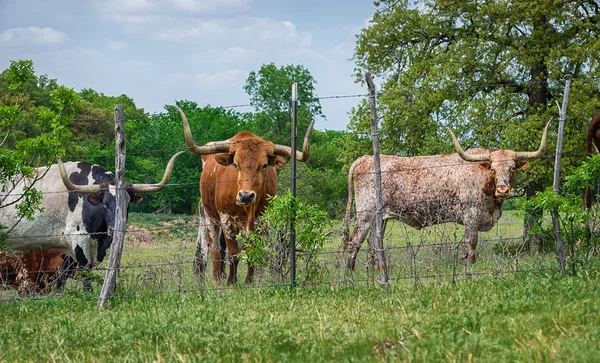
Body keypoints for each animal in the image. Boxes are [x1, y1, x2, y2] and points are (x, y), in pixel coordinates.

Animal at [0, 152, 183, 288]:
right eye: (105, 204)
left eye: (128, 204)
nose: (115, 229)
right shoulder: (78, 240)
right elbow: (85, 274)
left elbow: (63, 277)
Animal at [173, 106, 314, 286]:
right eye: (235, 164)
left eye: (264, 165)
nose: (246, 196)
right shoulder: (226, 220)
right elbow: (233, 253)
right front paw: (231, 283)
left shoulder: (262, 222)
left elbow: (253, 251)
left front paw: (249, 282)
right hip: (210, 216)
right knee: (215, 250)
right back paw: (216, 280)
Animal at [342, 122, 548, 268]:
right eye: (493, 169)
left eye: (512, 168)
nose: (503, 190)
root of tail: (366, 158)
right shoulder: (471, 216)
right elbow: (471, 245)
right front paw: (469, 270)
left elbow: (465, 247)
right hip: (365, 214)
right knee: (355, 241)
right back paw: (351, 276)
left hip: (380, 218)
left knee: (374, 242)